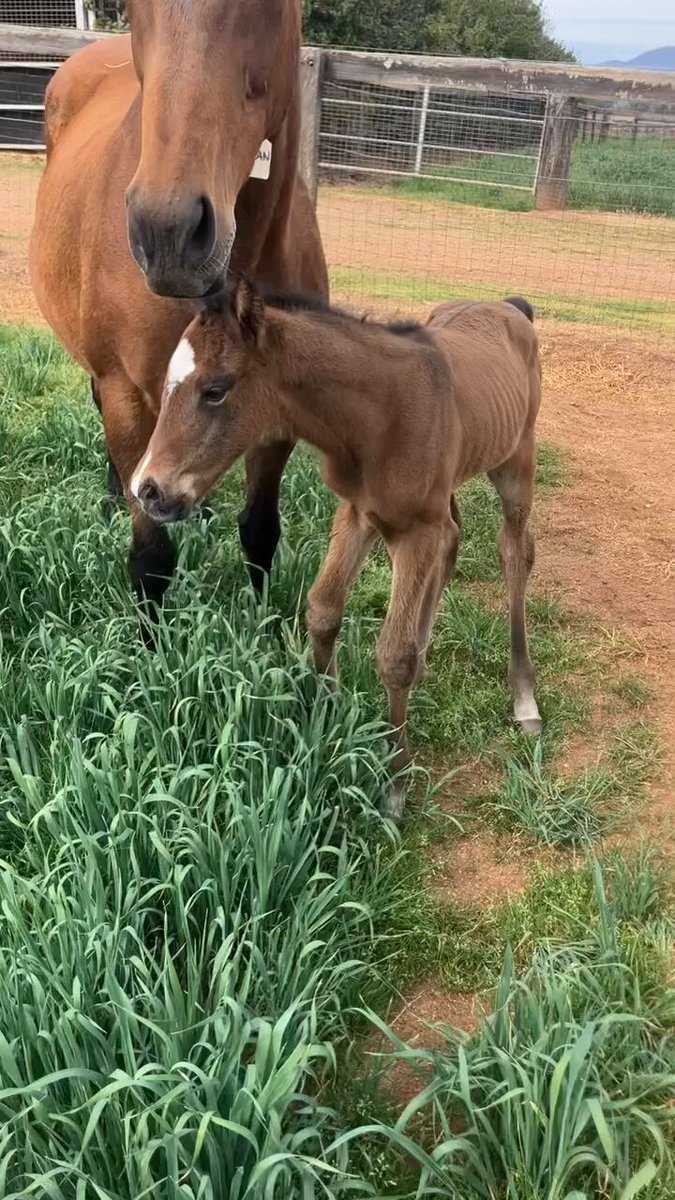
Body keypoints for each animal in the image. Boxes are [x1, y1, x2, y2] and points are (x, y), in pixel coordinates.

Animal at [29, 0, 328, 626]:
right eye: (134, 7)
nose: (166, 233)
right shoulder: (129, 391)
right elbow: (151, 558)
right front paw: (151, 646)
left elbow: (260, 531)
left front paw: (265, 634)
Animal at [129, 279, 543, 818]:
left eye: (216, 390)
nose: (147, 490)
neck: (380, 416)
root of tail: (510, 306)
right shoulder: (357, 513)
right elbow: (323, 612)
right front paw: (329, 719)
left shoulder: (414, 531)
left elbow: (393, 654)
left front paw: (395, 783)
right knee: (453, 535)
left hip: (516, 461)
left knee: (515, 552)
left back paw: (524, 697)